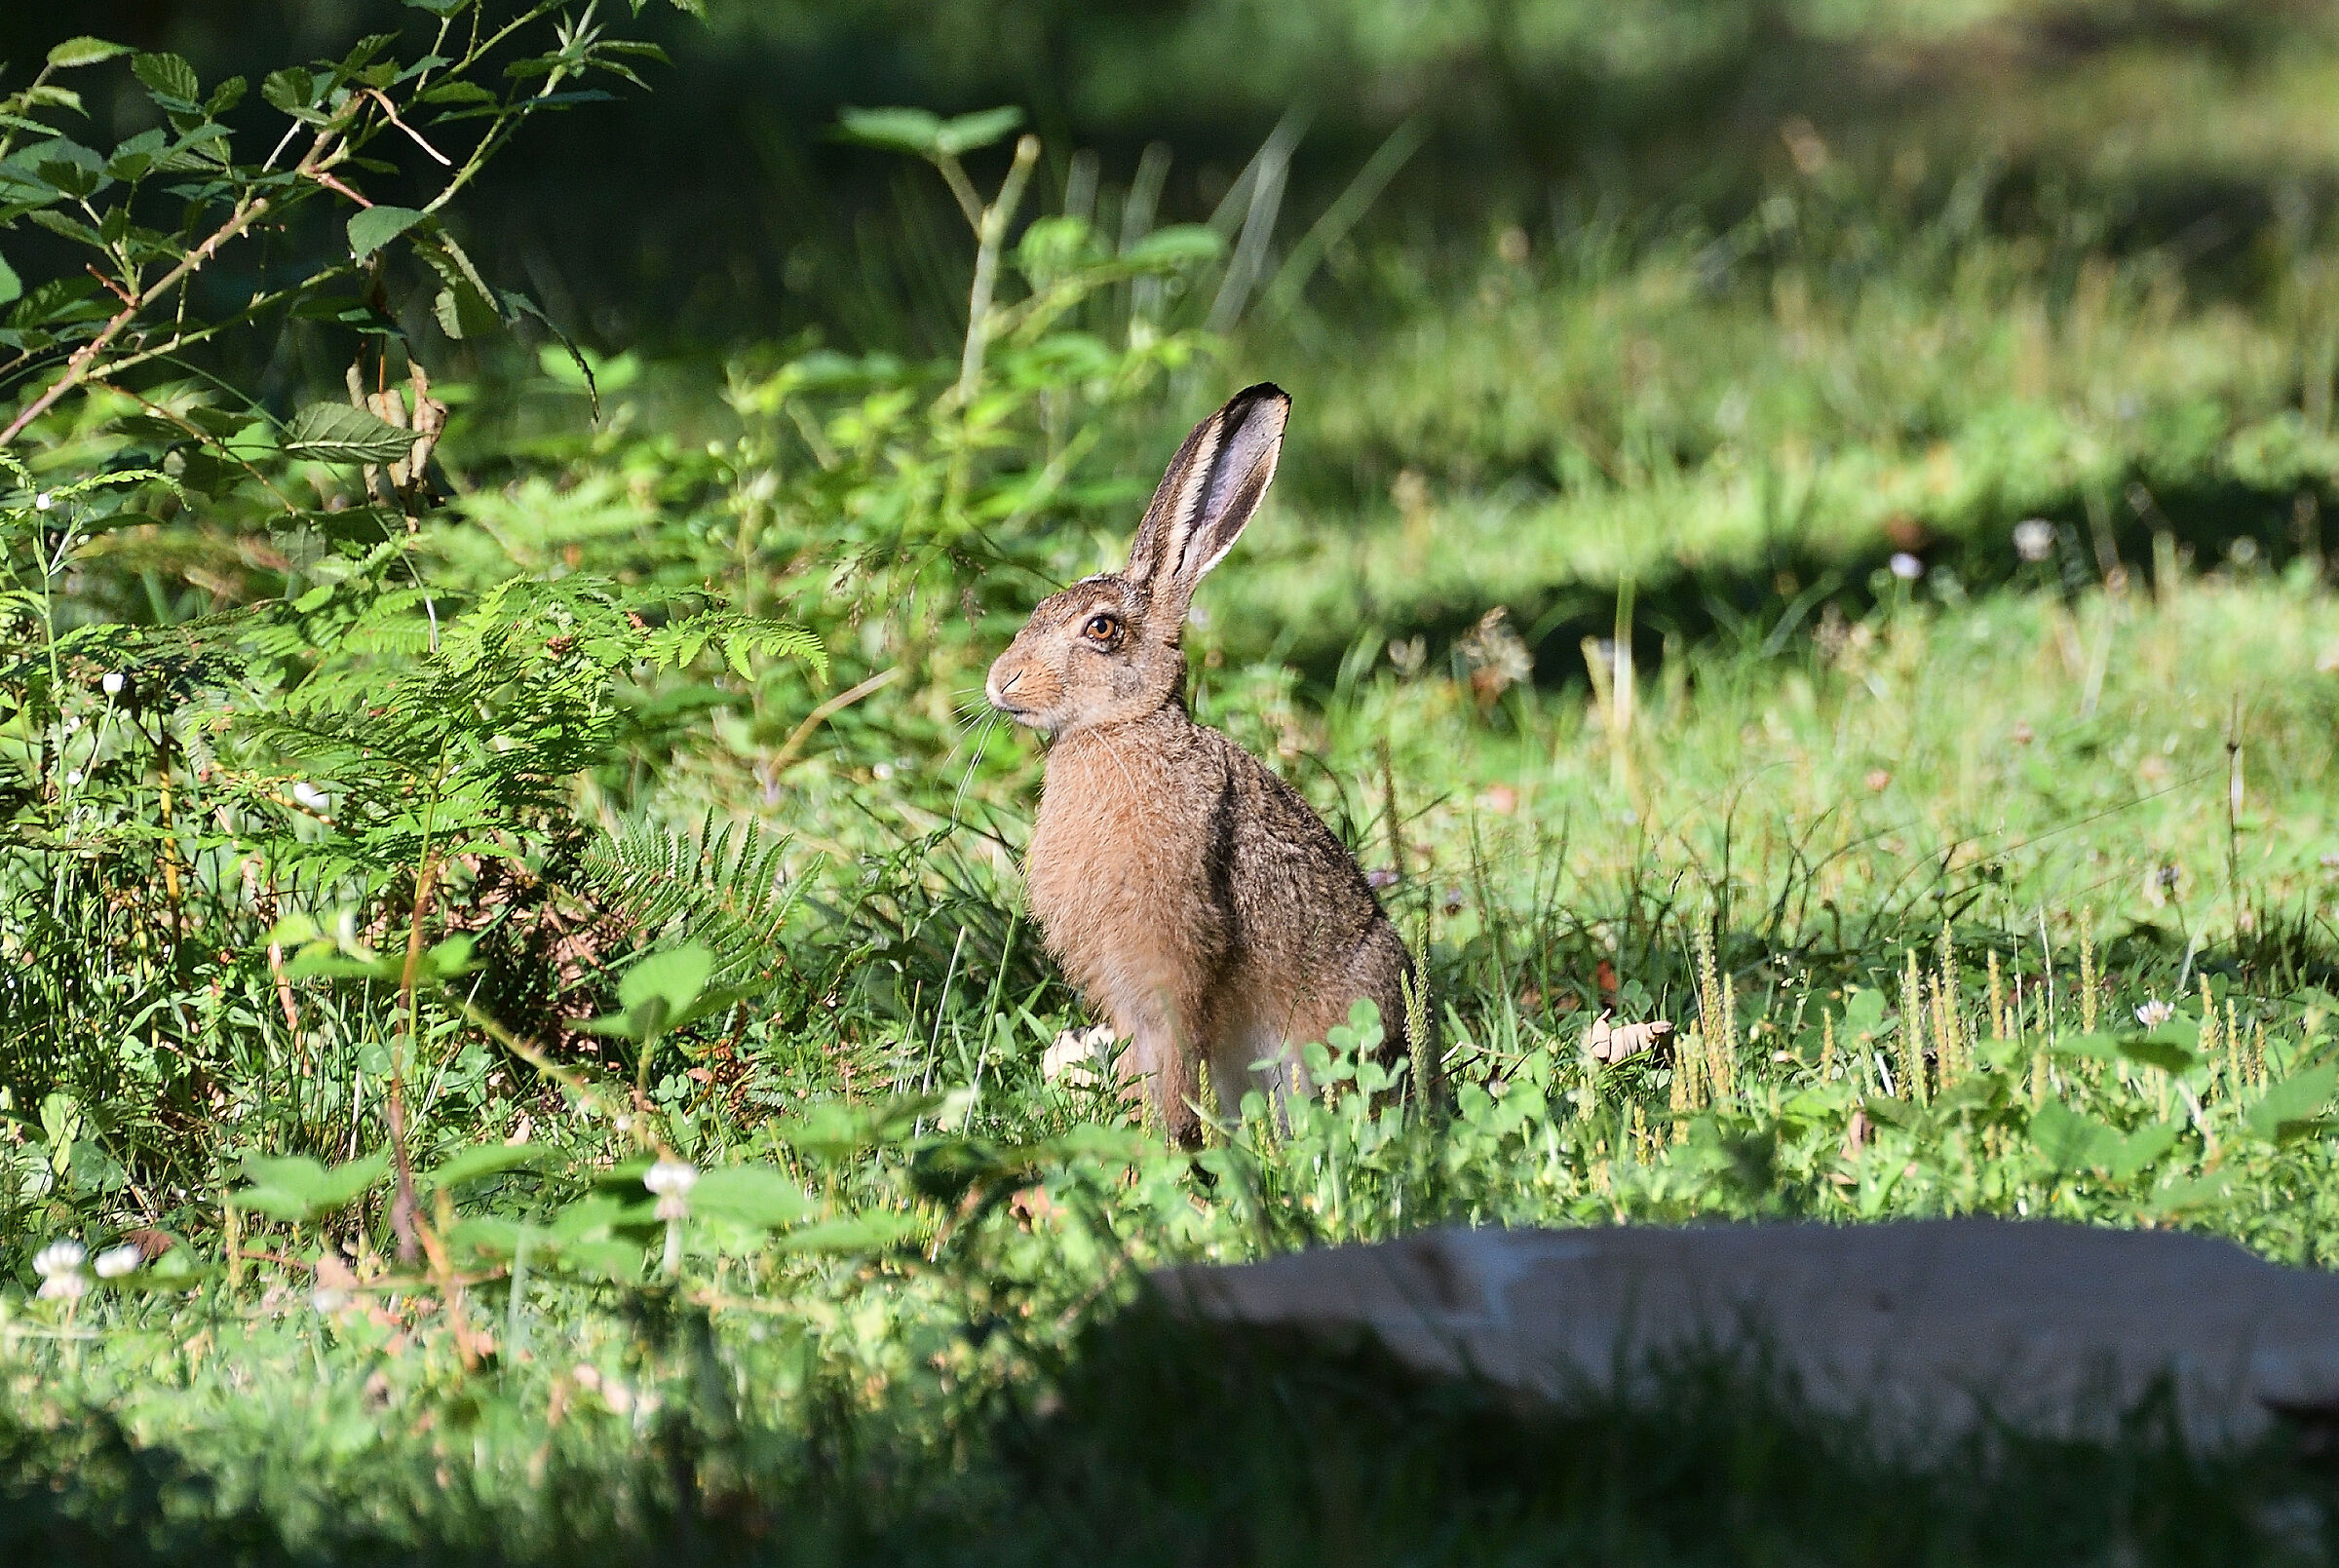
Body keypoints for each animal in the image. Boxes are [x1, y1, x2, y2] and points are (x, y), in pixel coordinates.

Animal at [986, 382, 1422, 1144]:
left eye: (1102, 629)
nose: (999, 682)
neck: (1126, 727)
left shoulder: (1171, 953)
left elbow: (1169, 1052)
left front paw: (1161, 1142)